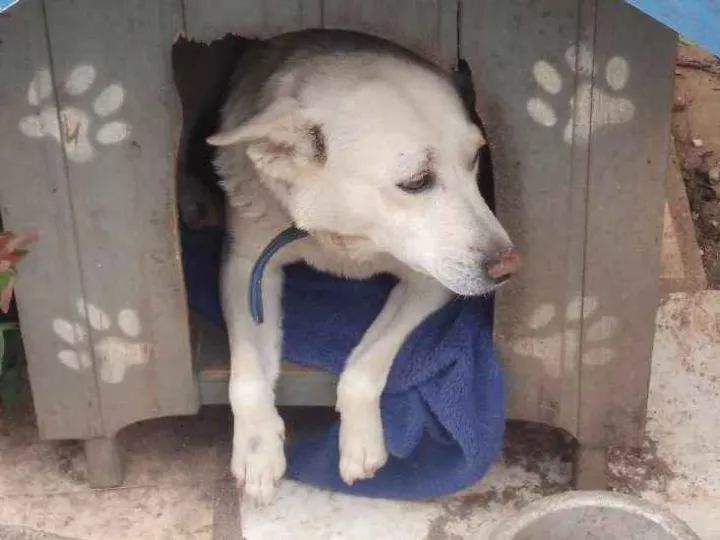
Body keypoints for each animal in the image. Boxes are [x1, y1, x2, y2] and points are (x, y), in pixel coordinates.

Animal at [206, 29, 521, 504]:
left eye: (475, 160)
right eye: (416, 182)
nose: (508, 267)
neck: (344, 236)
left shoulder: (430, 281)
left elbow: (366, 362)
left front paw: (360, 443)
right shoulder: (245, 267)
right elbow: (246, 374)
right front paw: (257, 449)